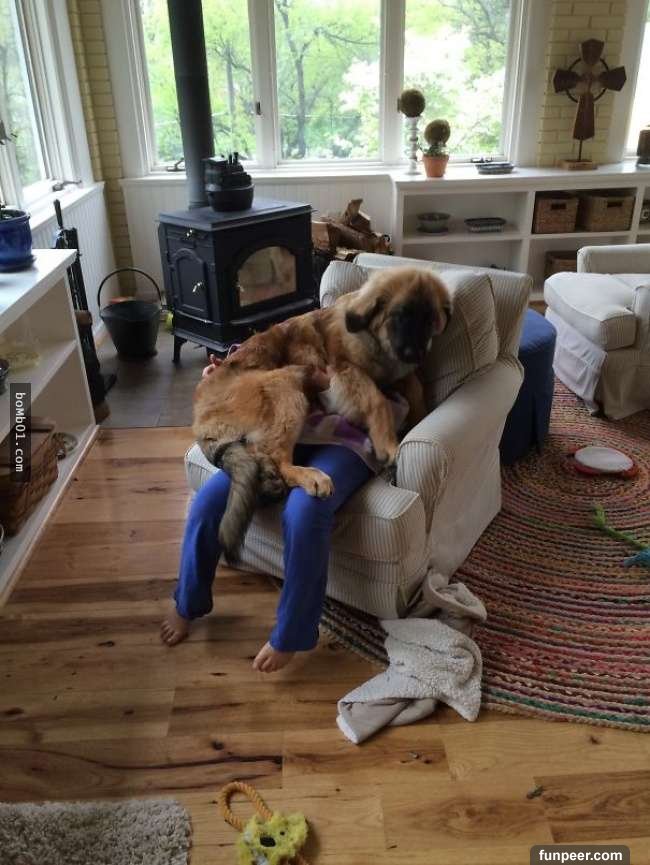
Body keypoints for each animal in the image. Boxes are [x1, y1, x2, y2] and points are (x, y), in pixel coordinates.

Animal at [192, 266, 451, 562]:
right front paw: (388, 444)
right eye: (399, 316)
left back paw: (270, 480)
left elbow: (414, 385)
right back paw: (308, 476)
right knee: (274, 453)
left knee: (260, 451)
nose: (415, 354)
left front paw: (419, 413)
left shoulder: (397, 373)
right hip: (287, 385)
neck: (373, 341)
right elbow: (377, 399)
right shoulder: (342, 371)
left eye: (429, 320)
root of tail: (200, 417)